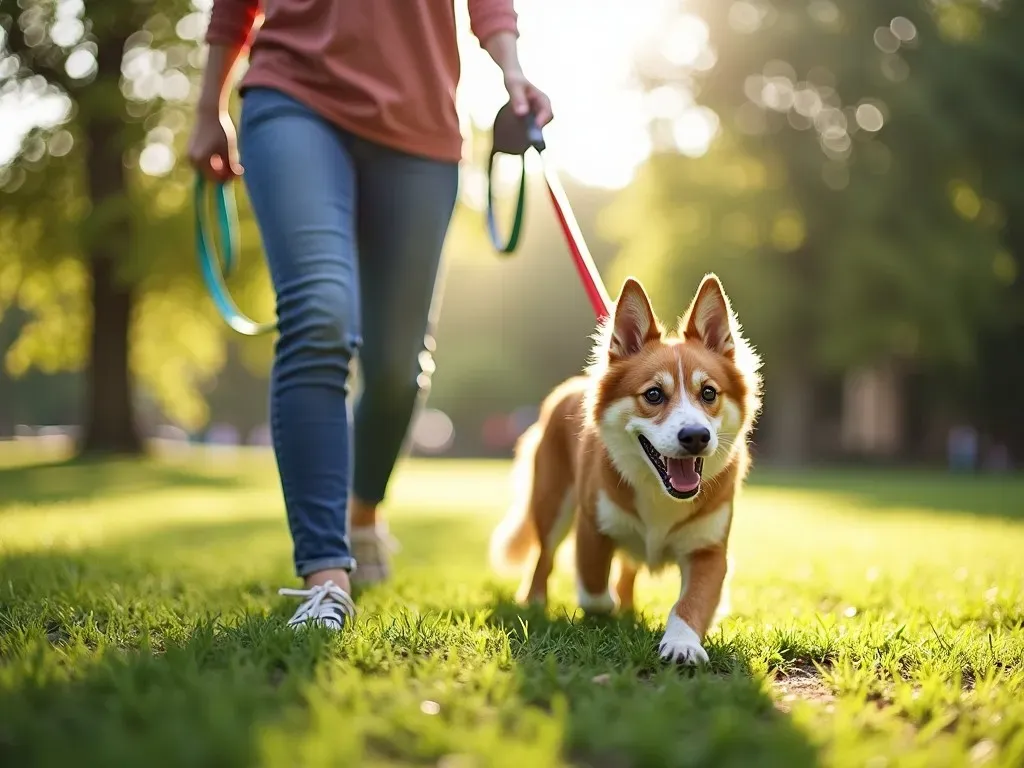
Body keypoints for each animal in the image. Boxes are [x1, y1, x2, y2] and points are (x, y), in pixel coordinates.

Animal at [487, 274, 761, 663]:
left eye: (708, 393)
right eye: (653, 395)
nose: (696, 436)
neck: (661, 493)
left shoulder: (709, 551)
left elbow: (691, 602)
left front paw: (682, 643)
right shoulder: (593, 528)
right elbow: (594, 591)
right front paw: (606, 610)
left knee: (626, 571)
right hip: (552, 503)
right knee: (544, 558)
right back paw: (536, 601)